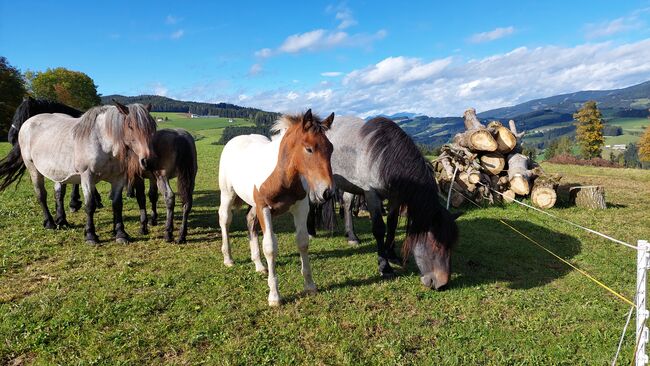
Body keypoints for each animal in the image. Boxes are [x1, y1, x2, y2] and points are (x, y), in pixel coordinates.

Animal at [0, 99, 156, 243]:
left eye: (152, 127)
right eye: (130, 126)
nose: (147, 161)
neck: (103, 143)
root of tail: (27, 124)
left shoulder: (118, 178)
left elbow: (117, 205)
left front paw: (121, 234)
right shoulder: (87, 177)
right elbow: (90, 205)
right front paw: (90, 236)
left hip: (58, 172)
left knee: (58, 194)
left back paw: (62, 221)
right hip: (33, 169)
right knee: (41, 195)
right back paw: (50, 223)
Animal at [308, 116, 456, 290]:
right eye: (436, 245)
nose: (442, 283)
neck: (382, 155)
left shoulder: (395, 197)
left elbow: (392, 224)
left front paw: (391, 255)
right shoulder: (371, 194)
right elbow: (379, 229)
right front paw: (385, 267)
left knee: (347, 205)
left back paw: (352, 236)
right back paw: (311, 231)